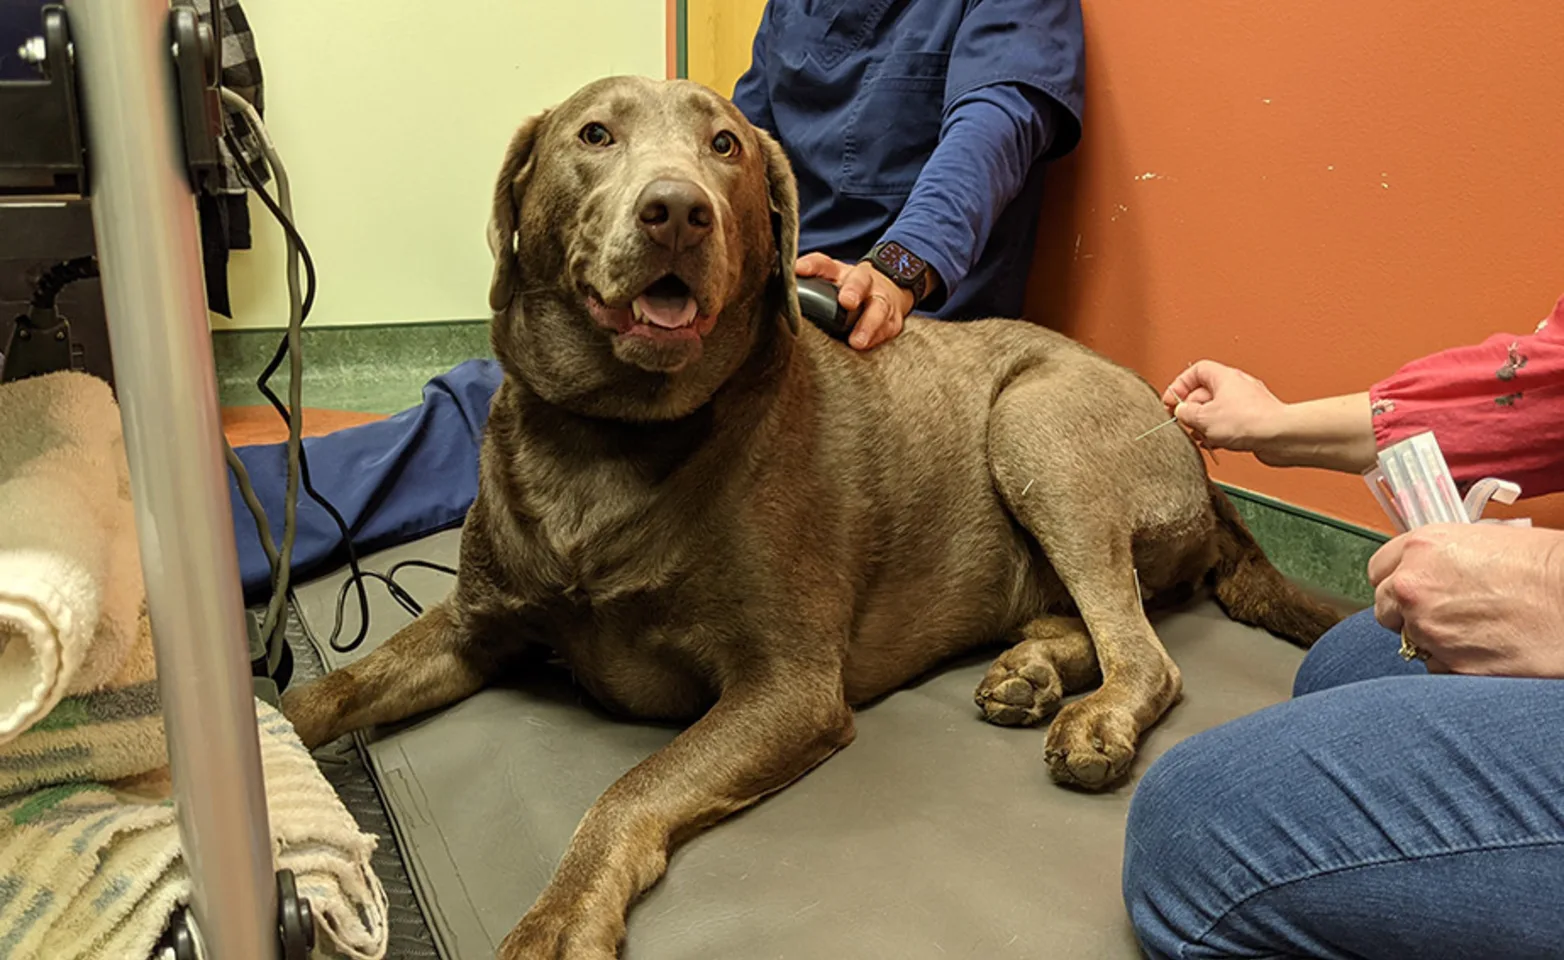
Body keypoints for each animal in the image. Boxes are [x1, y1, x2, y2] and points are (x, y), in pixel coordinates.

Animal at [278, 77, 1332, 960]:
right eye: (593, 134)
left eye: (726, 145)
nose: (677, 209)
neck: (609, 441)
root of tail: (1188, 441)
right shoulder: (476, 625)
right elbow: (326, 695)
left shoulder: (785, 689)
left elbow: (630, 789)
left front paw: (558, 918)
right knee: (1092, 620)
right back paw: (1031, 673)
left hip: (1037, 427)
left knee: (1144, 649)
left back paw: (1093, 716)